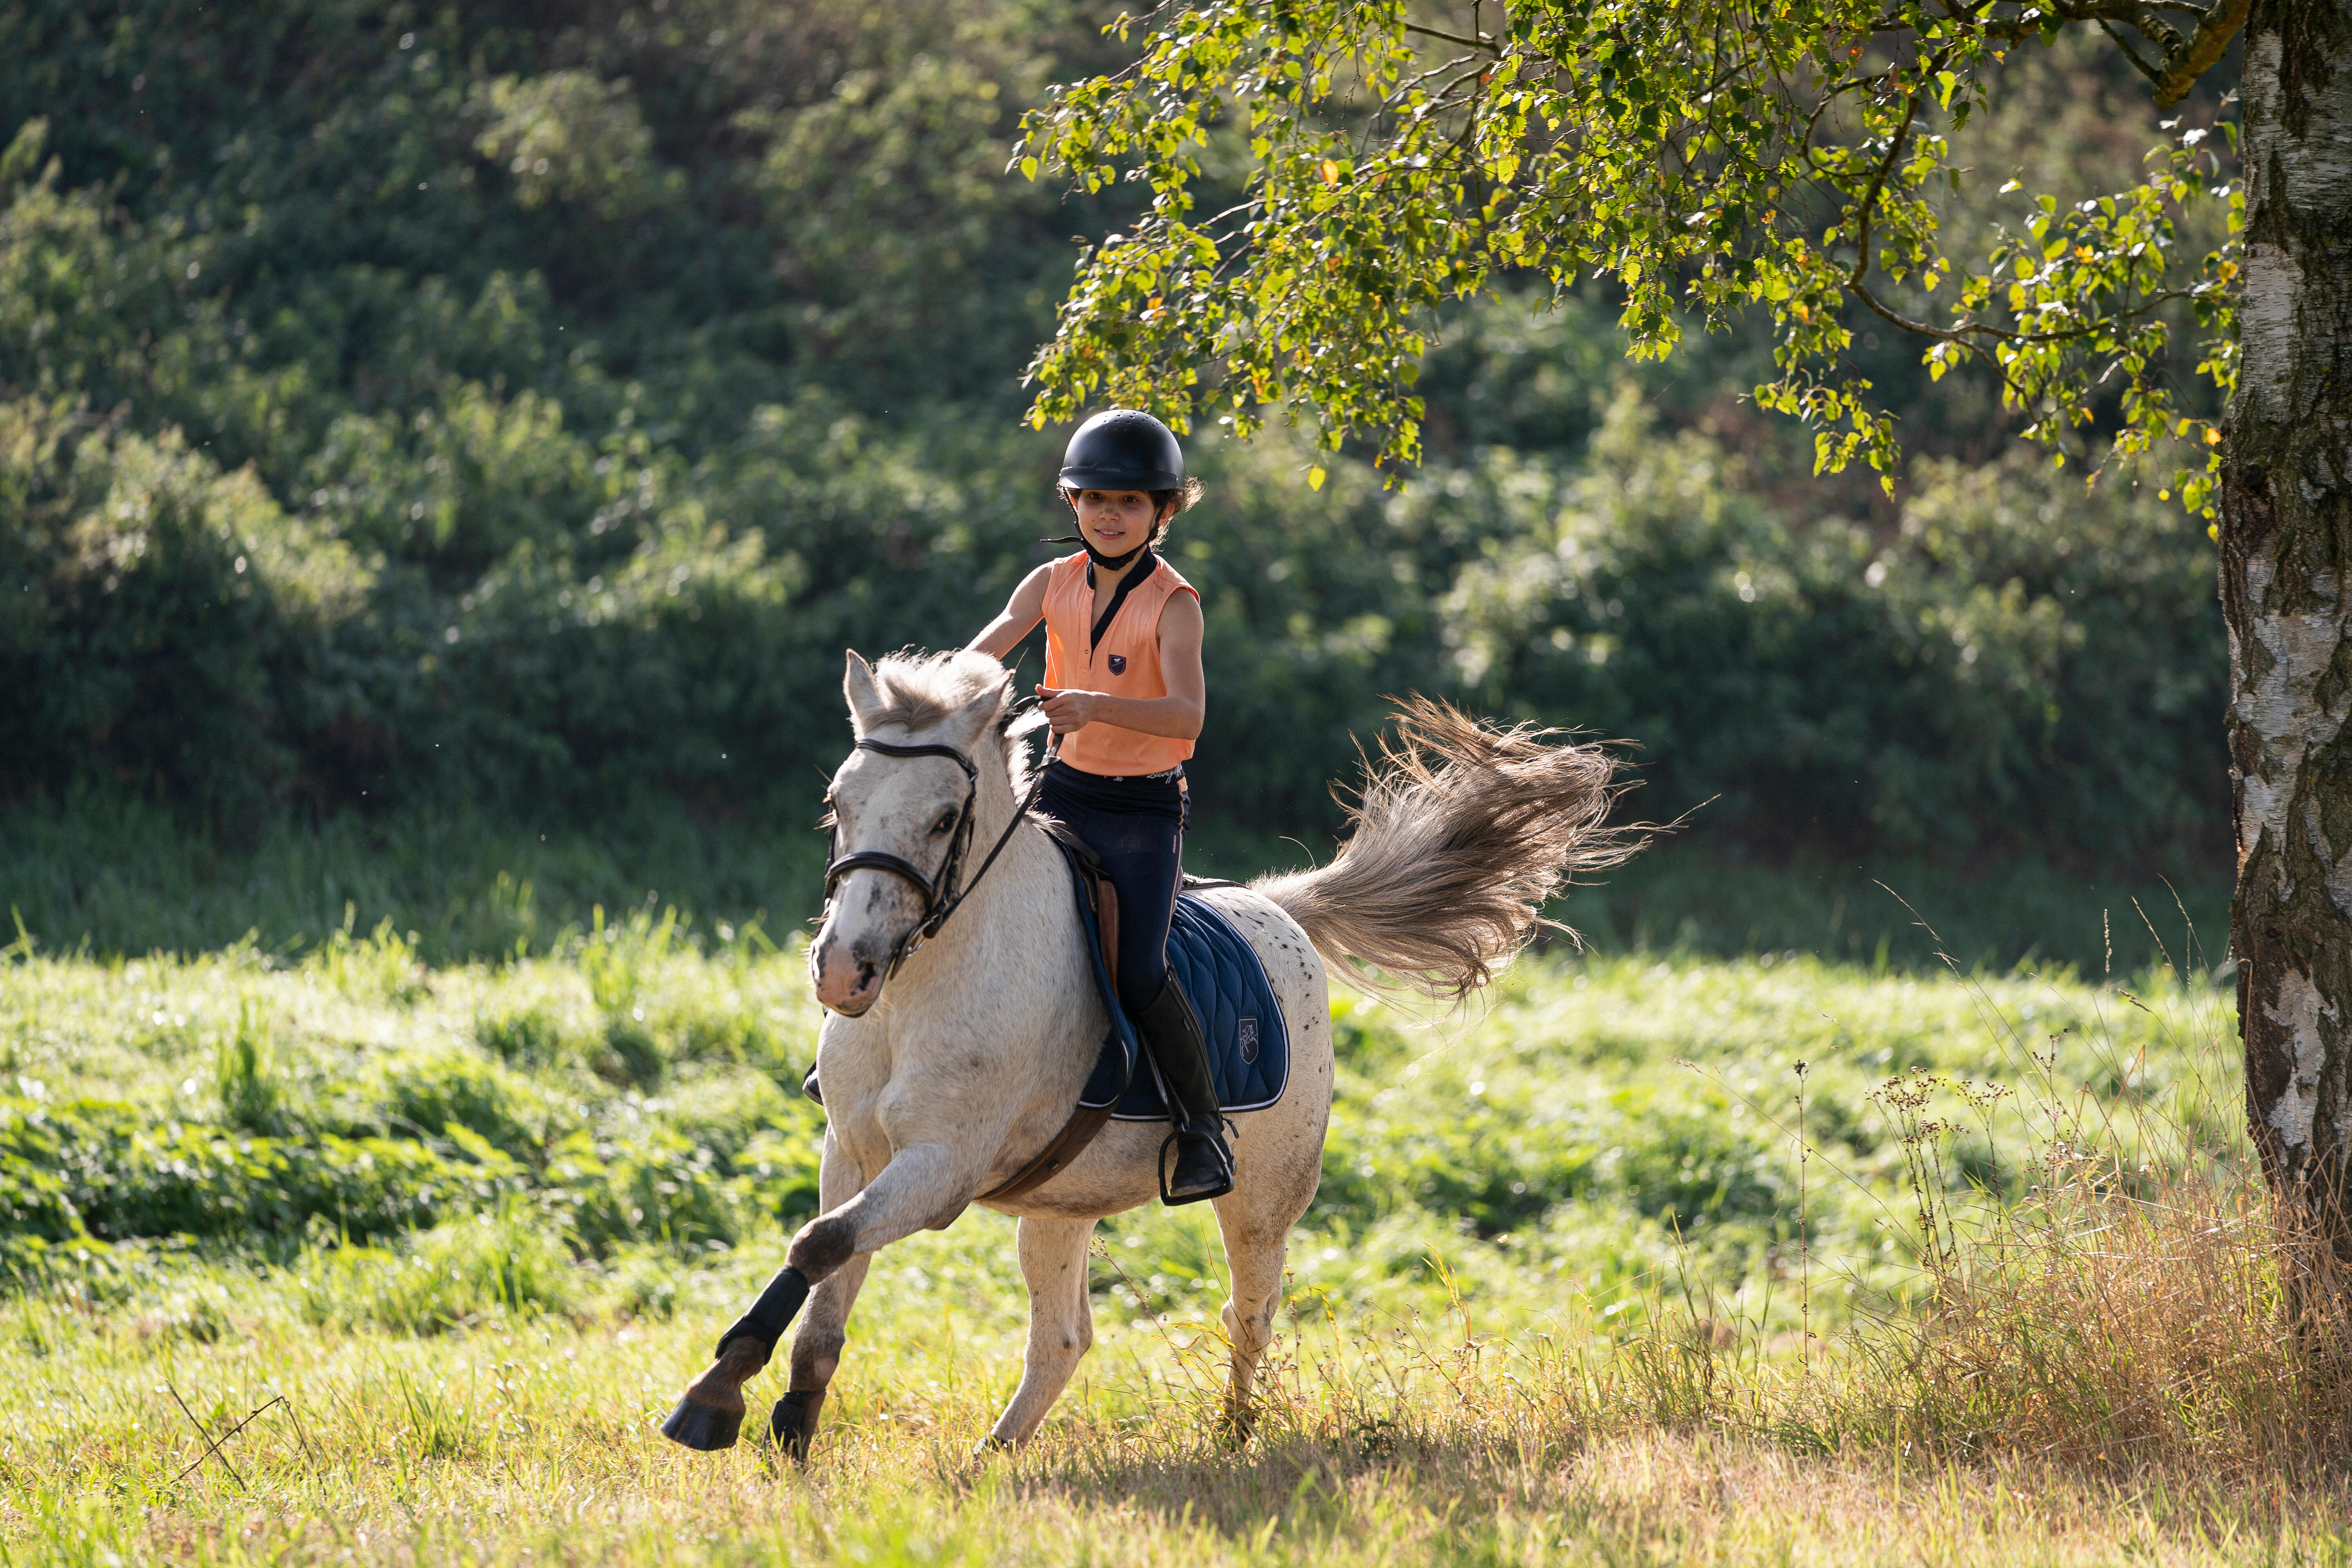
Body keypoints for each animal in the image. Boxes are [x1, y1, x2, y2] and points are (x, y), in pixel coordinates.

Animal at [654, 653, 1628, 1457]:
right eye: (839, 802)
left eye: (943, 817)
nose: (842, 968)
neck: (917, 992)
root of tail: (1279, 909)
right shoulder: (853, 1152)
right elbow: (825, 1279)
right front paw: (788, 1424)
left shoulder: (940, 1168)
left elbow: (820, 1244)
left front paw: (715, 1399)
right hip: (1055, 1206)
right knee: (1064, 1337)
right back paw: (988, 1461)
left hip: (1264, 1200)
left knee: (1248, 1310)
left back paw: (1230, 1436)